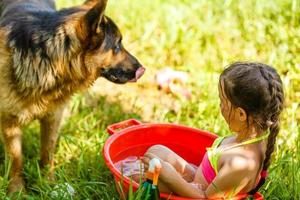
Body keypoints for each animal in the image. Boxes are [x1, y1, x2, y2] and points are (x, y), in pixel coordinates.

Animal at [0, 0, 145, 194]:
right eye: (116, 46)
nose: (142, 69)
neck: (47, 59)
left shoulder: (53, 118)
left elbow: (47, 152)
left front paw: (48, 183)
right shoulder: (10, 125)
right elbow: (16, 160)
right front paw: (17, 191)